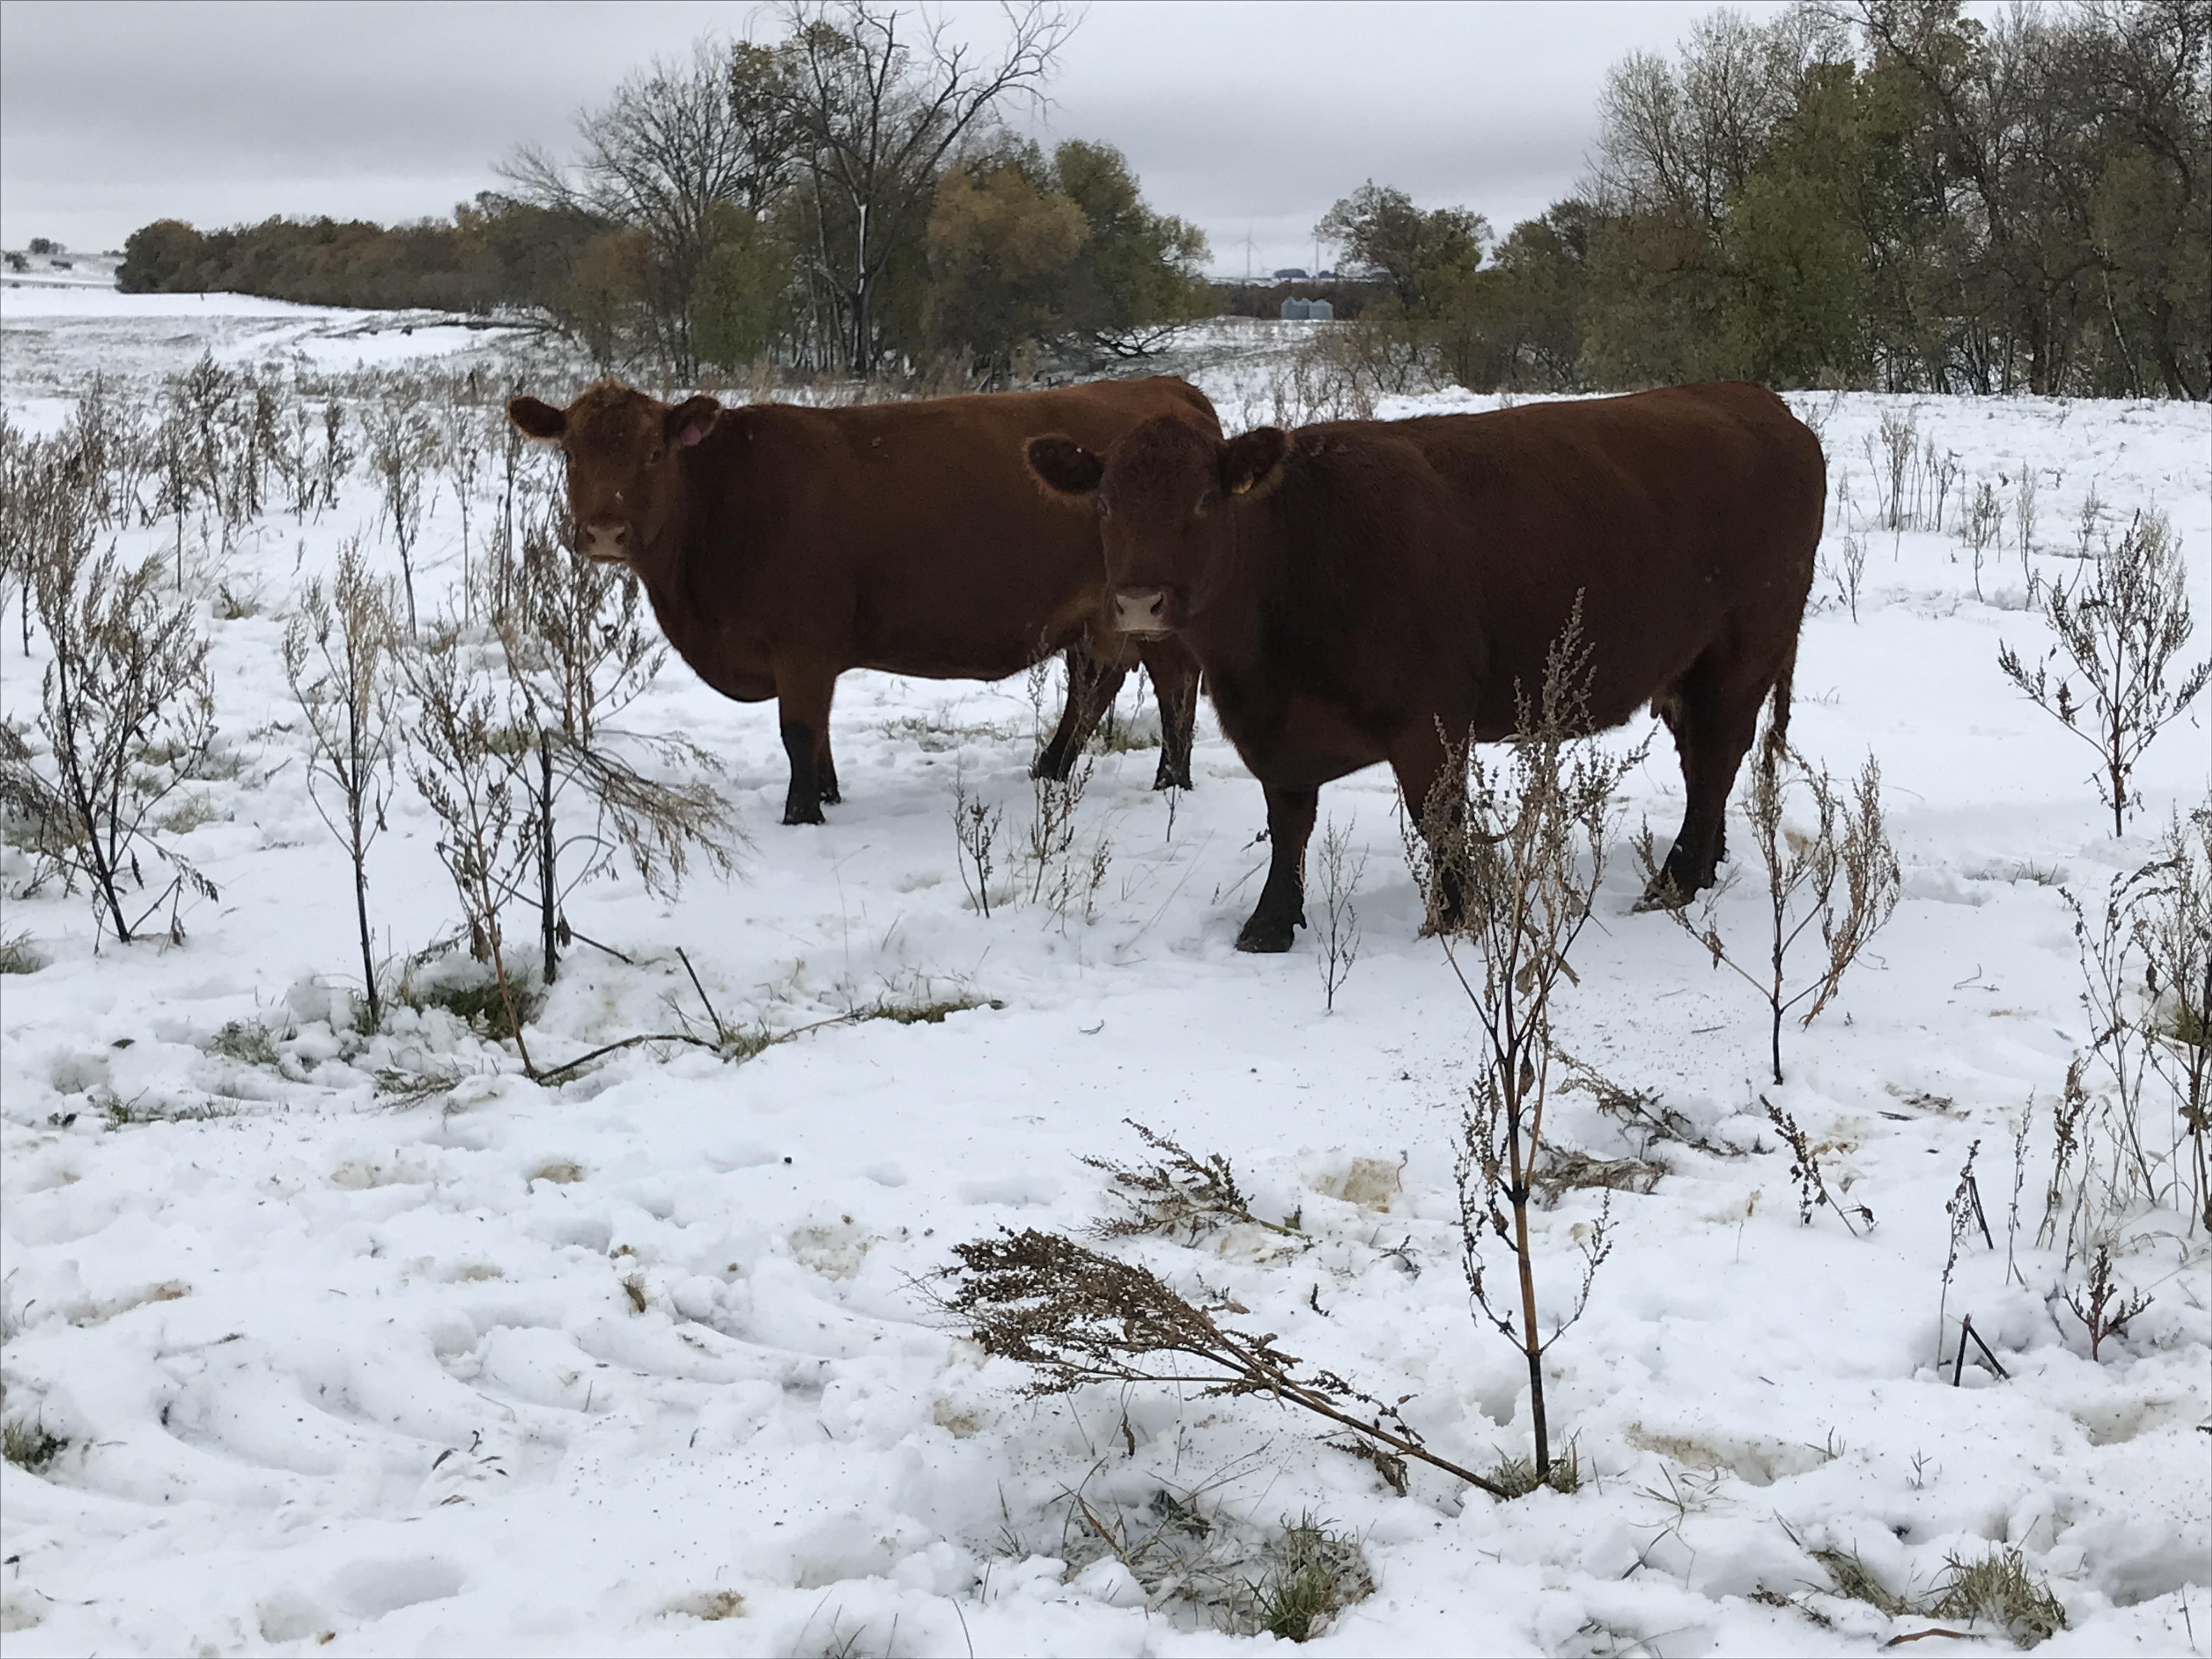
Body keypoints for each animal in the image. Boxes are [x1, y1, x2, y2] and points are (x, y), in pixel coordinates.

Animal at [506, 374, 1221, 822]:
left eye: (655, 452)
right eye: (569, 453)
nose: (605, 531)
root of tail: (1167, 389)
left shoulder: (800, 644)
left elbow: (798, 732)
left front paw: (801, 815)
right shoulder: (812, 656)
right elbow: (818, 733)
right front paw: (828, 795)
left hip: (1148, 605)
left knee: (1170, 682)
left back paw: (1169, 781)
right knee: (1097, 684)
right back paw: (1052, 771)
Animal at [1026, 380, 1822, 946]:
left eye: (1202, 500)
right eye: (1103, 504)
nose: (1139, 601)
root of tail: (1758, 401)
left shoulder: (1430, 721)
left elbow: (1438, 822)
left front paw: (1452, 918)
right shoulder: (1277, 732)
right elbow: (1289, 823)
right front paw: (1270, 926)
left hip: (1740, 652)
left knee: (1715, 760)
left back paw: (1674, 884)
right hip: (1693, 670)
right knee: (1704, 765)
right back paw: (1705, 867)